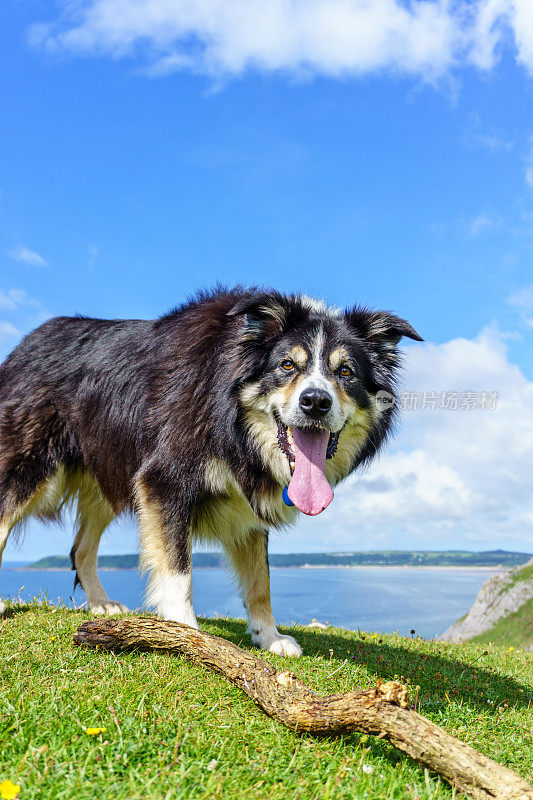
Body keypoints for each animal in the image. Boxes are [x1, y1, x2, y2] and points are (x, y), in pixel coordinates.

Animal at [0, 288, 420, 656]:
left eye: (346, 372)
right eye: (287, 365)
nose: (315, 402)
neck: (232, 422)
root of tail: (26, 343)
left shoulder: (248, 503)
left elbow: (260, 580)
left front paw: (270, 637)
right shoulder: (165, 478)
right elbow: (178, 568)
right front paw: (185, 631)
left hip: (107, 470)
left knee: (81, 548)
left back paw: (102, 605)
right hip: (29, 463)